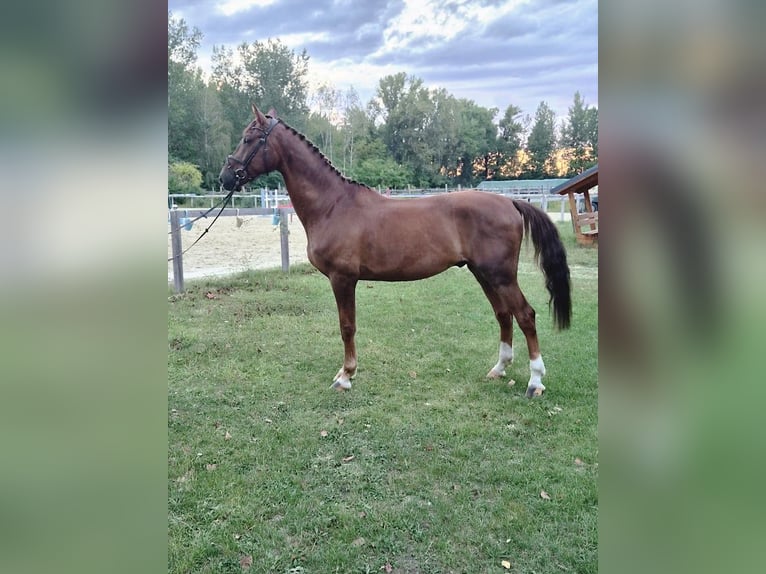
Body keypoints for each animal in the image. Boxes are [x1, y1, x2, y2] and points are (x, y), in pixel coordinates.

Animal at [220, 105, 571, 397]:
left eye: (248, 139)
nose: (225, 177)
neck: (333, 205)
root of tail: (510, 201)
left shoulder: (342, 279)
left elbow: (347, 327)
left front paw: (345, 376)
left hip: (500, 276)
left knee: (525, 315)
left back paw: (535, 382)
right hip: (484, 274)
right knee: (503, 315)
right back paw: (499, 369)